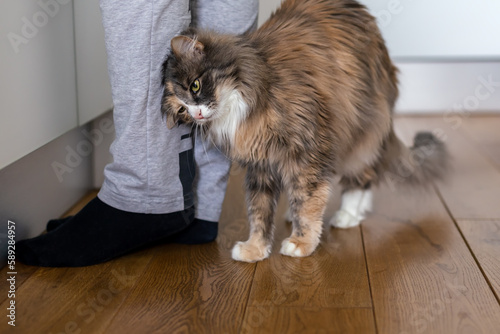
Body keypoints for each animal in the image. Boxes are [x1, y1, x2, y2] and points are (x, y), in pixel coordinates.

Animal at [161, 0, 450, 264]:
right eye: (183, 109)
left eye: (195, 86)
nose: (197, 114)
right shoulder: (260, 165)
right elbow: (259, 211)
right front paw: (255, 249)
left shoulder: (309, 151)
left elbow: (308, 202)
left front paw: (302, 242)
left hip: (359, 134)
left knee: (363, 176)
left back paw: (348, 215)